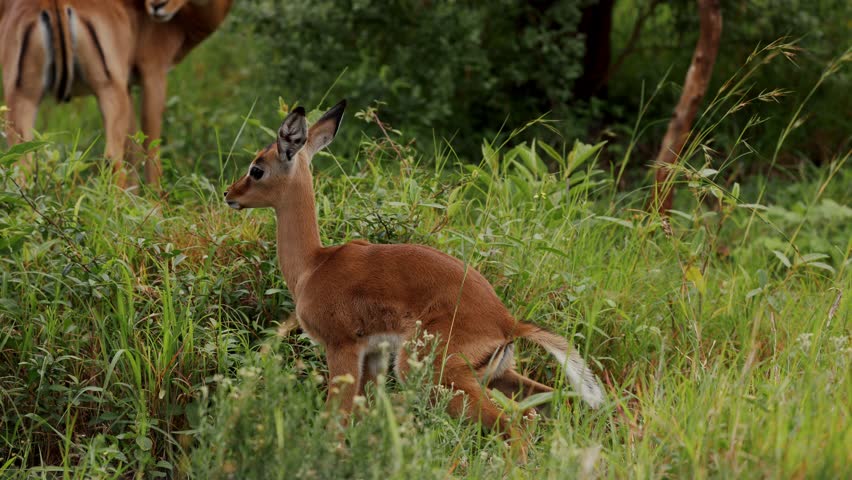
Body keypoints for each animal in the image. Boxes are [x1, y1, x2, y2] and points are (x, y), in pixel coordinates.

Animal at [0, 0, 232, 188]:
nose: (156, 5)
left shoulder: (128, 85)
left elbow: (133, 151)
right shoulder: (153, 74)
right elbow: (150, 150)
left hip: (22, 97)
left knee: (21, 163)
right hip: (109, 89)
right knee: (112, 157)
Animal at [224, 100, 604, 456]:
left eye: (257, 168)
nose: (230, 194)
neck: (313, 264)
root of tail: (507, 321)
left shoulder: (342, 346)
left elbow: (336, 419)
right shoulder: (374, 354)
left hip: (431, 374)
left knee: (513, 423)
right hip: (496, 375)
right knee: (547, 406)